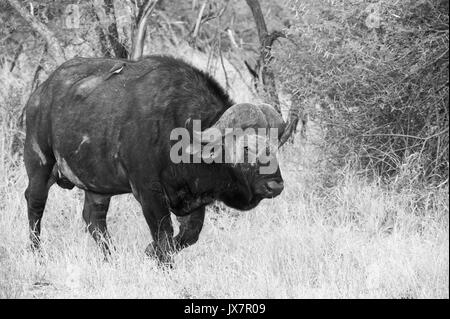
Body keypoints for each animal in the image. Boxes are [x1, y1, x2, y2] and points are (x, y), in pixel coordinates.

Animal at [23, 55, 284, 264]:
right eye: (247, 147)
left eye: (275, 146)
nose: (276, 185)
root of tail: (39, 94)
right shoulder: (149, 193)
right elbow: (163, 234)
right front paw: (163, 262)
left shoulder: (191, 199)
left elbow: (190, 235)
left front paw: (150, 252)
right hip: (39, 164)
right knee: (35, 204)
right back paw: (37, 253)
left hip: (97, 187)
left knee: (93, 219)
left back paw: (111, 258)